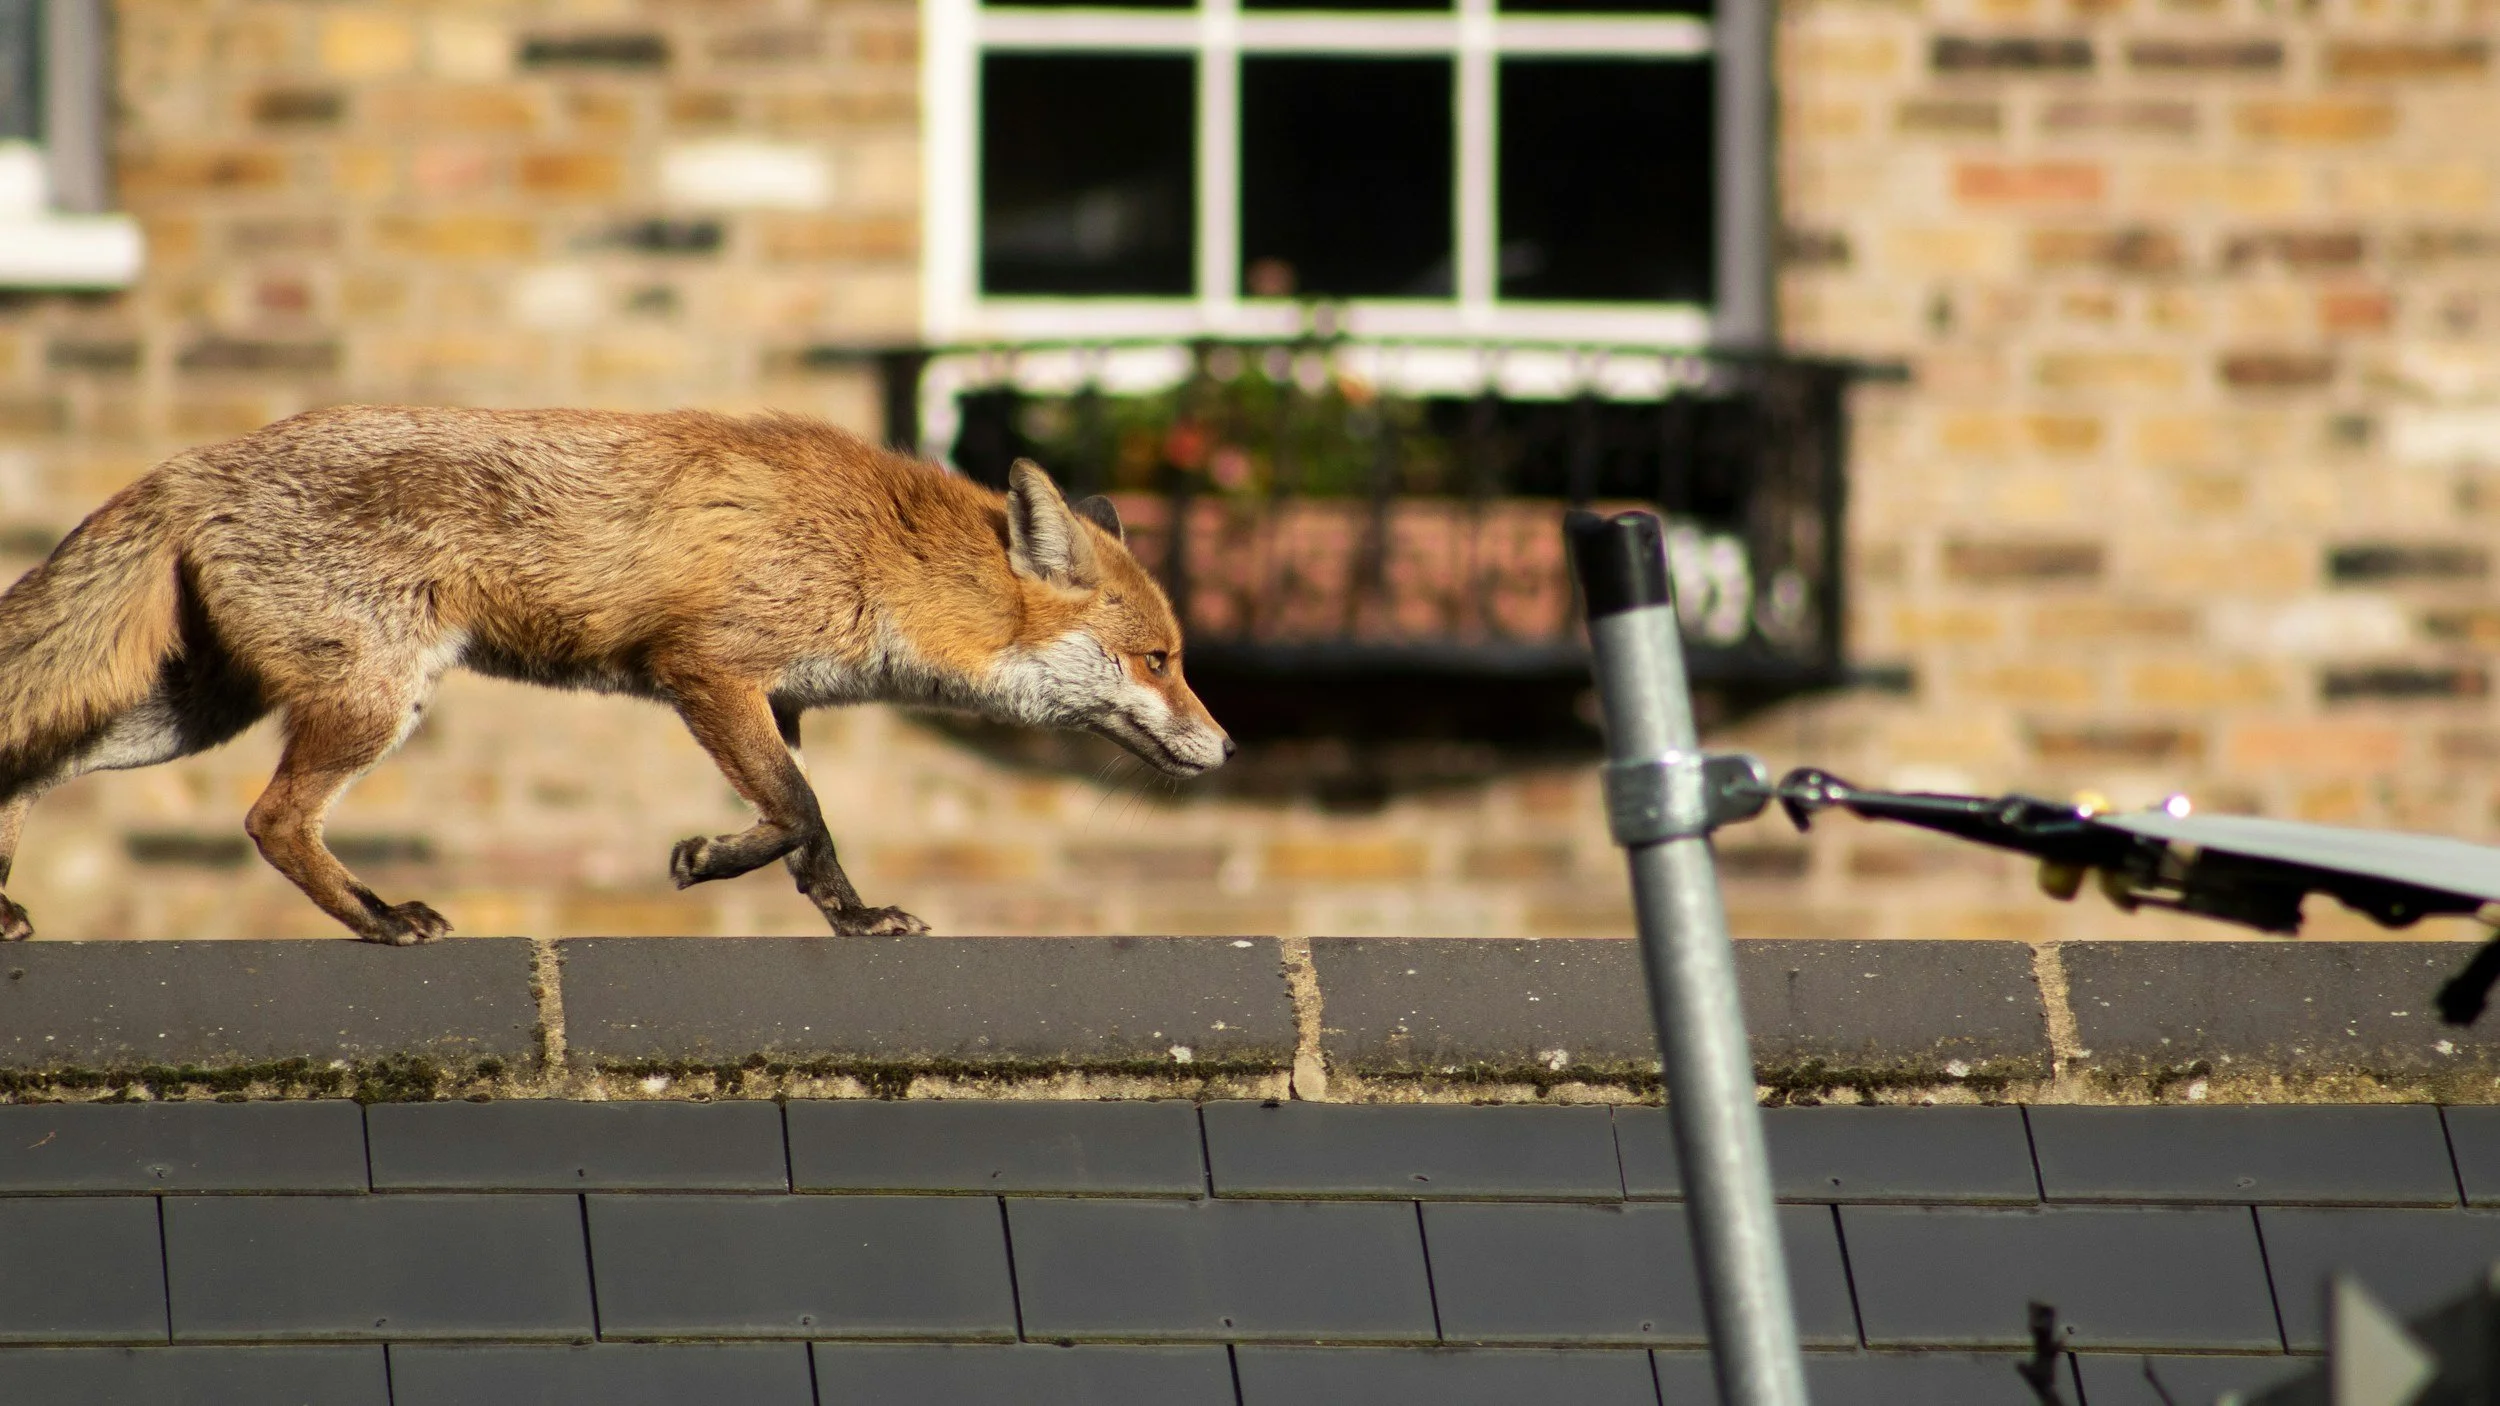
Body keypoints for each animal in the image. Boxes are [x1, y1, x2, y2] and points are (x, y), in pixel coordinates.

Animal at [0, 405, 1232, 944]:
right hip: (369, 702)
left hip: (189, 710)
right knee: (271, 820)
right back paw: (379, 919)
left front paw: (839, 909)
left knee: (28, 766)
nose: (1226, 748)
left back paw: (8, 909)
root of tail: (191, 462)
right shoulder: (707, 669)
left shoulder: (777, 697)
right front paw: (719, 862)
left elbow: (806, 829)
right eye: (1160, 659)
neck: (881, 556)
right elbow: (799, 811)